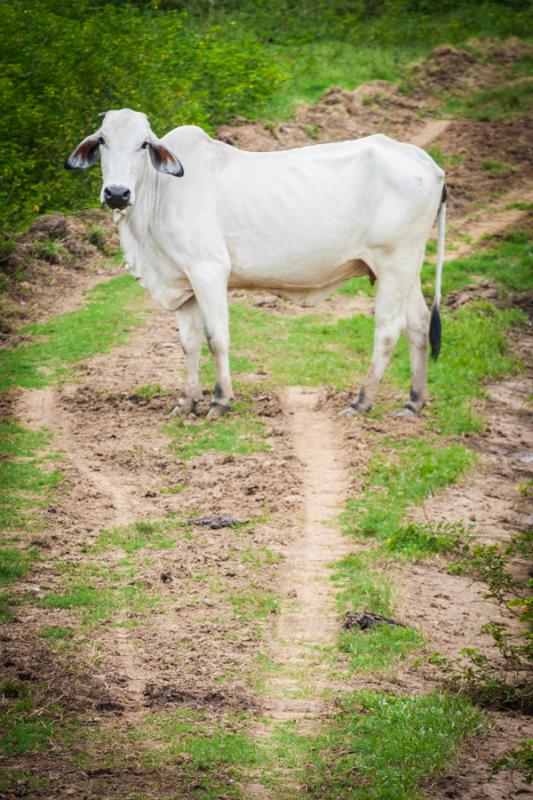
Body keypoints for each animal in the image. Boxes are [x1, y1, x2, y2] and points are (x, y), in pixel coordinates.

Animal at [67, 108, 448, 418]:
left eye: (144, 144)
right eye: (102, 140)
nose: (117, 193)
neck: (161, 193)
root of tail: (429, 165)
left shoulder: (208, 271)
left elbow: (216, 337)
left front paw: (220, 401)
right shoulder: (183, 281)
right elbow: (189, 343)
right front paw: (186, 402)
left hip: (393, 264)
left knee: (388, 330)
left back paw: (361, 402)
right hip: (408, 268)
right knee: (418, 325)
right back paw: (413, 402)